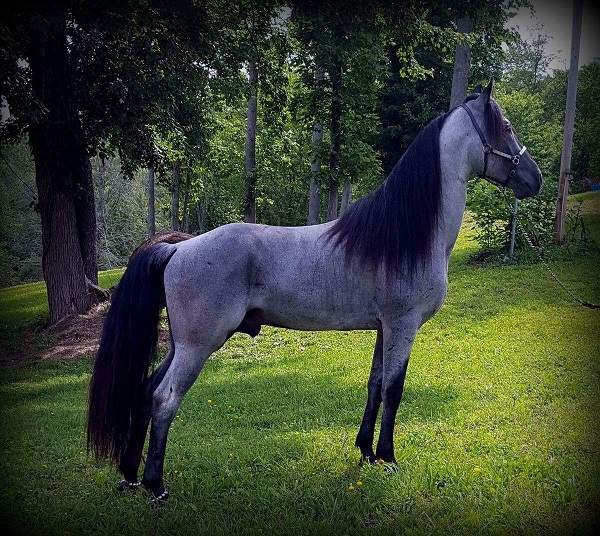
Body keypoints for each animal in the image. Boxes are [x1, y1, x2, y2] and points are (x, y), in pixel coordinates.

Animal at [88, 81, 544, 504]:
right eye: (505, 126)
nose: (535, 178)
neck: (404, 236)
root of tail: (181, 247)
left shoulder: (384, 328)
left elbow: (375, 385)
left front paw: (365, 453)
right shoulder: (403, 325)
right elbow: (394, 390)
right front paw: (388, 458)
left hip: (180, 345)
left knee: (146, 390)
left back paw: (130, 474)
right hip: (198, 346)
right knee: (164, 399)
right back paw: (155, 484)